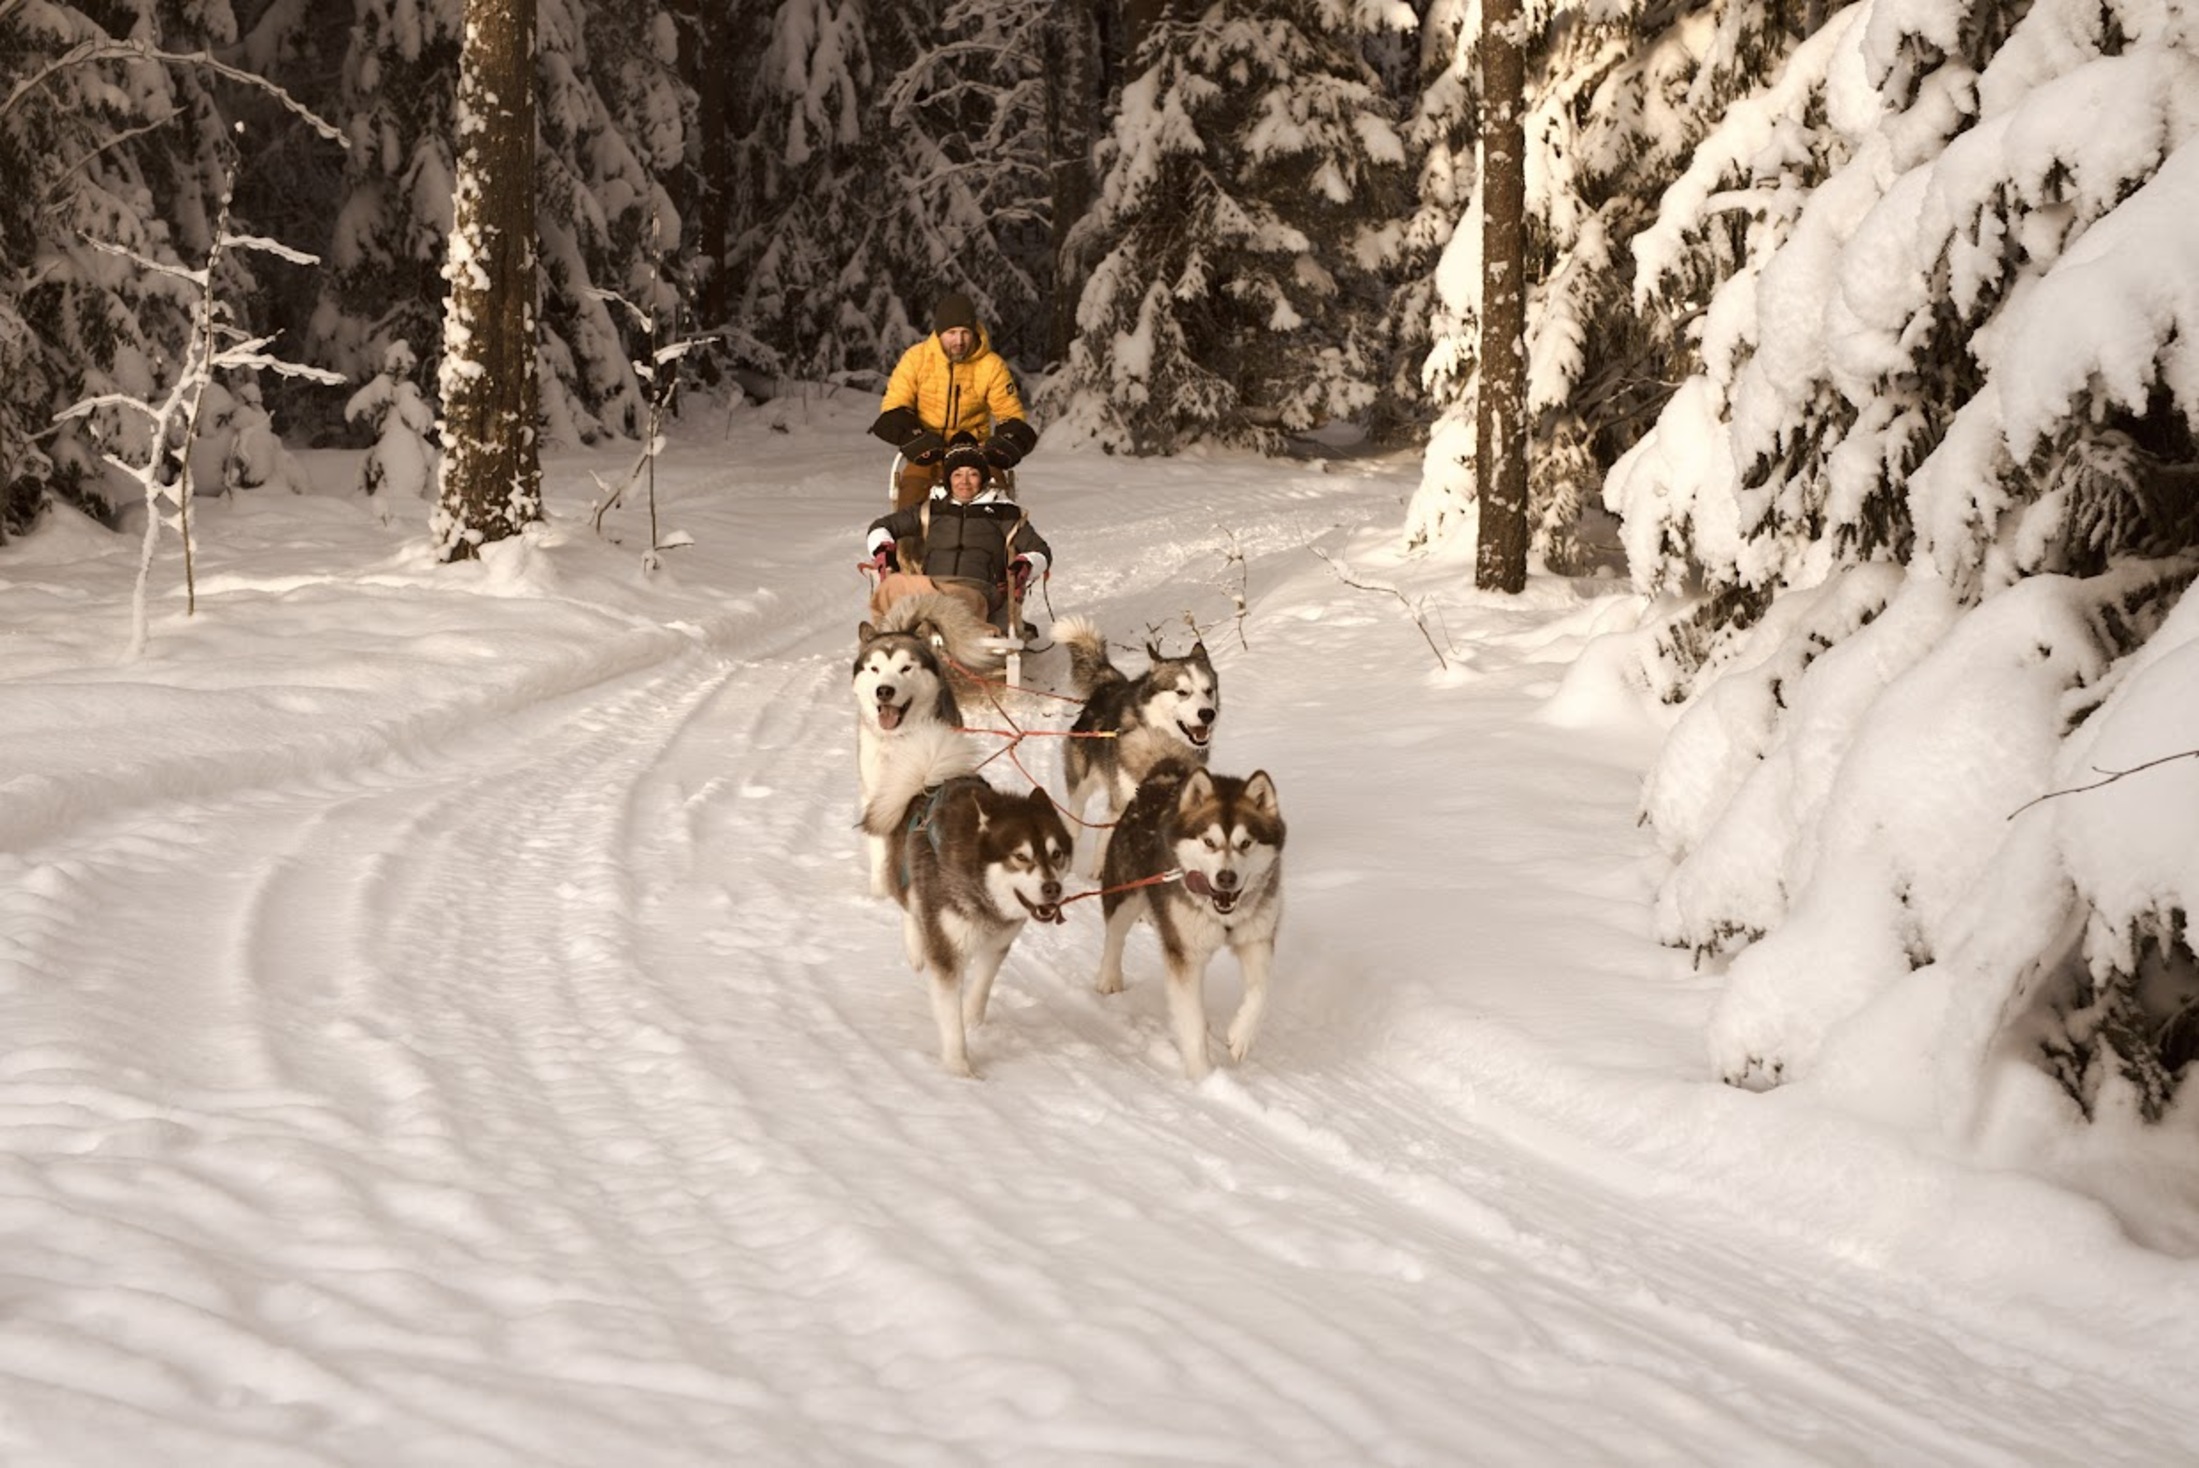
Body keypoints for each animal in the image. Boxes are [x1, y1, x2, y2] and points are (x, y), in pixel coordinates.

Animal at [1099, 755, 1284, 1076]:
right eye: (1209, 842)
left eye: (1246, 843)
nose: (1226, 877)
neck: (1224, 917)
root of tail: (1159, 779)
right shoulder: (1185, 954)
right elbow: (1191, 1022)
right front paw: (1203, 1077)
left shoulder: (1257, 939)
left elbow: (1260, 991)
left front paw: (1241, 1036)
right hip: (1127, 893)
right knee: (1115, 934)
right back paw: (1108, 977)